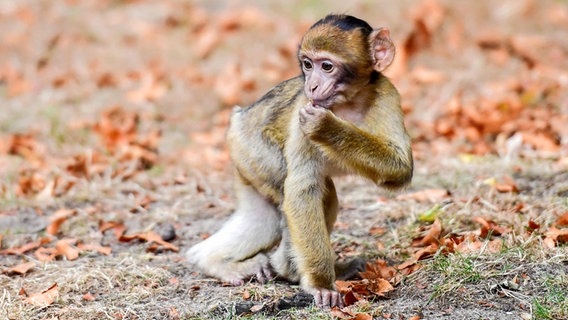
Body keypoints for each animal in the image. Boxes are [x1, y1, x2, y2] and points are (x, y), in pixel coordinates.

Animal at [186, 13, 412, 308]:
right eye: (307, 64)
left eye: (327, 66)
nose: (311, 85)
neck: (348, 102)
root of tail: (238, 118)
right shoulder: (301, 111)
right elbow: (302, 190)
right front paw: (320, 284)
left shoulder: (387, 94)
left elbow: (401, 168)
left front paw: (326, 127)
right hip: (254, 151)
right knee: (313, 195)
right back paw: (285, 268)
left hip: (247, 163)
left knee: (266, 216)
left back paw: (212, 261)